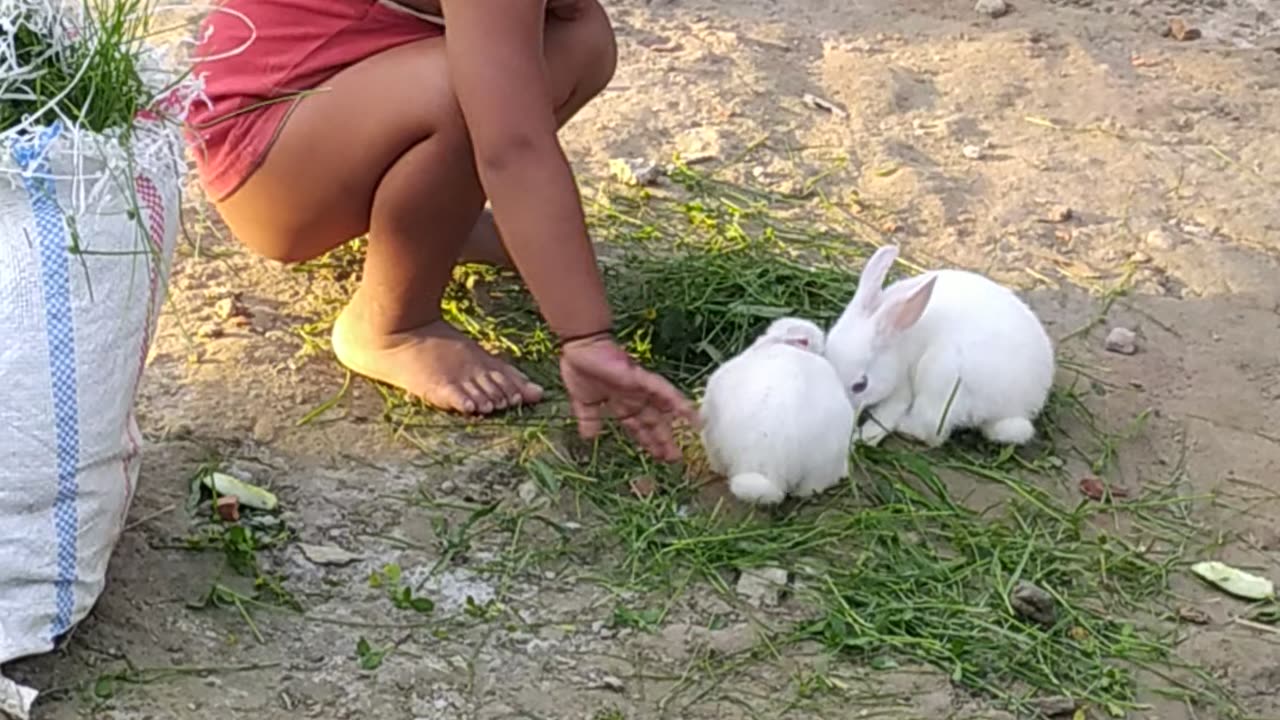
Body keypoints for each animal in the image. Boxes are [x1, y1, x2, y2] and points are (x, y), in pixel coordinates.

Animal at [824, 245, 1055, 448]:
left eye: (860, 385)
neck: (898, 344)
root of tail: (1025, 403)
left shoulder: (902, 387)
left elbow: (888, 414)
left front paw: (860, 437)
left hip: (940, 377)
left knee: (933, 431)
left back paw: (905, 425)